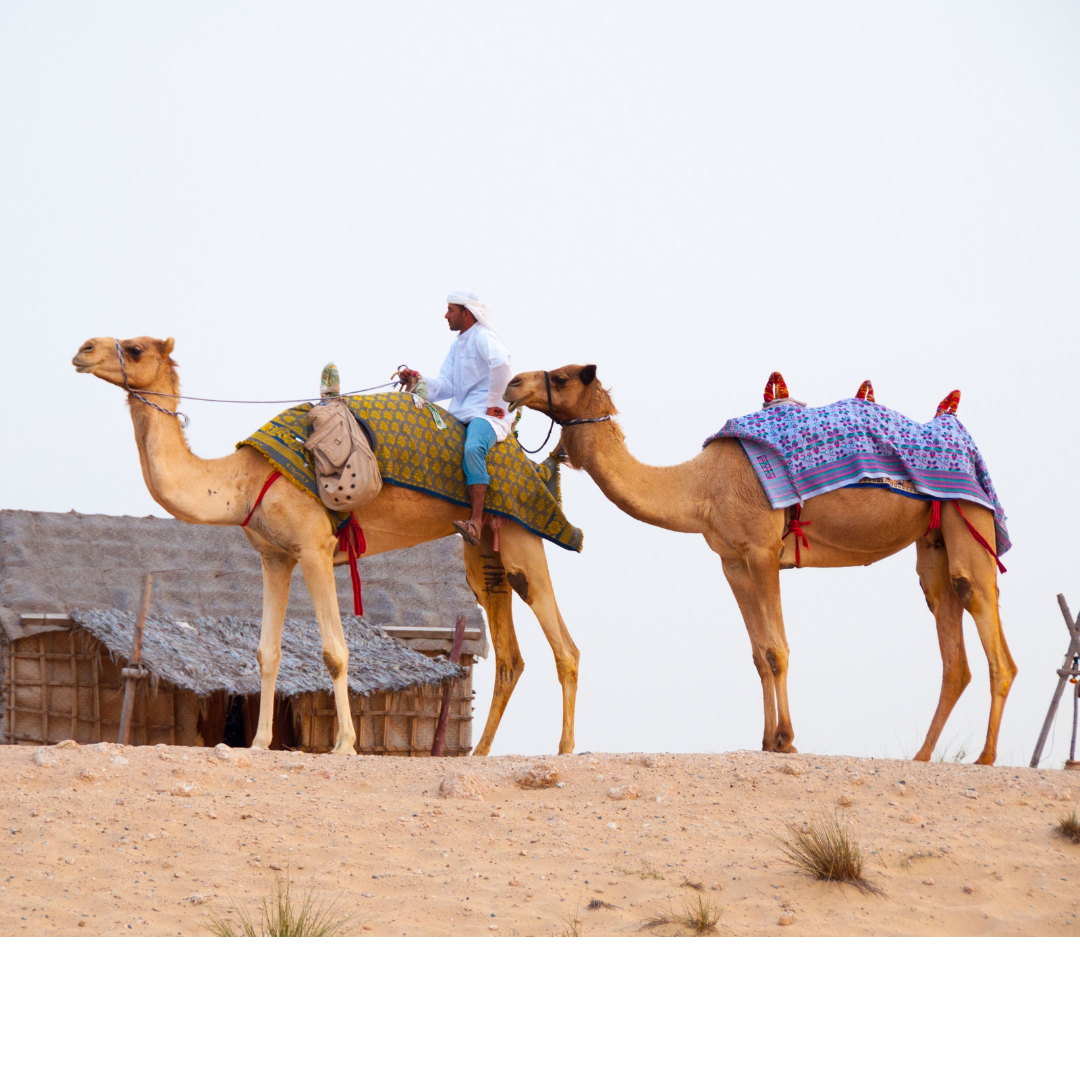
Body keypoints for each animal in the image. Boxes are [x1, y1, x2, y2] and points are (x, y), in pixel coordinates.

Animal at [73, 341, 583, 756]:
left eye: (135, 348)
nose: (83, 349)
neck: (244, 478)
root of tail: (534, 466)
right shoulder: (276, 556)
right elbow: (267, 652)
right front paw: (259, 742)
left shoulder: (315, 547)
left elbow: (335, 652)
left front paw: (345, 744)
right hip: (484, 553)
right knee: (510, 656)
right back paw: (481, 752)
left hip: (521, 536)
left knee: (565, 646)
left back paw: (564, 748)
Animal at [503, 367, 1010, 764]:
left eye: (562, 376)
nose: (512, 384)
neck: (700, 485)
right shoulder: (732, 560)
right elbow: (758, 652)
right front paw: (767, 739)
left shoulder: (763, 548)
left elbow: (777, 648)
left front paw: (786, 740)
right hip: (934, 539)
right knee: (952, 642)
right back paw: (923, 756)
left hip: (971, 518)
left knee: (987, 623)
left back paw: (985, 757)